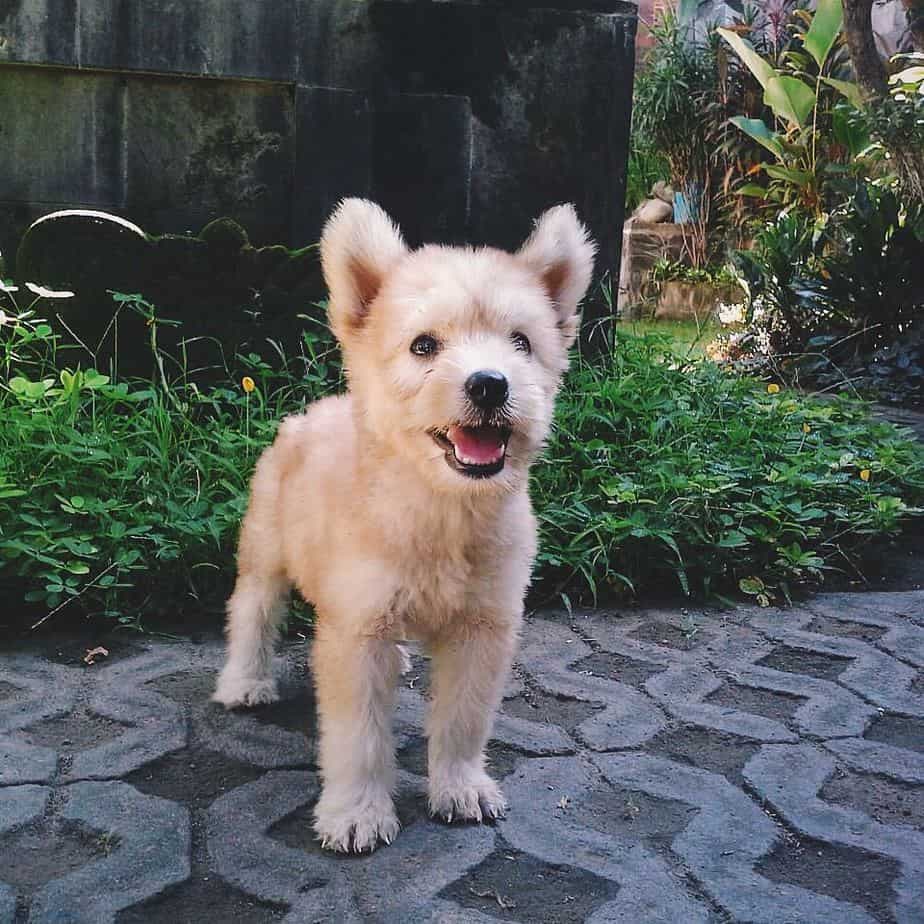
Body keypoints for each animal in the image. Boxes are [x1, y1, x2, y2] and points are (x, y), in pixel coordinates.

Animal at [213, 200, 596, 852]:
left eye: (521, 343)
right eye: (424, 346)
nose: (489, 383)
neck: (442, 510)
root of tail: (316, 409)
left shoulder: (483, 627)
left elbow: (464, 720)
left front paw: (460, 786)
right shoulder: (357, 634)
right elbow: (359, 738)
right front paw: (357, 812)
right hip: (265, 549)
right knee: (252, 611)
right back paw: (244, 681)